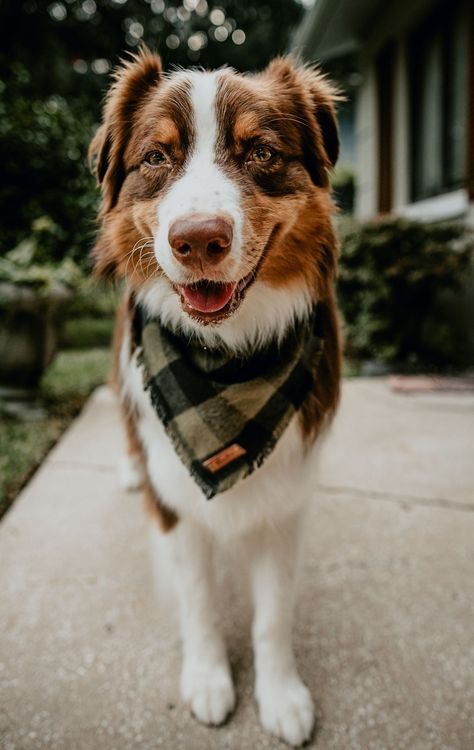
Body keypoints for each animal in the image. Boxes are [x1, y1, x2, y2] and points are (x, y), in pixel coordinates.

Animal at [90, 50, 340, 748]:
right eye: (156, 157)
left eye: (261, 152)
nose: (198, 240)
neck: (225, 361)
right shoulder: (175, 498)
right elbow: (198, 600)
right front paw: (207, 680)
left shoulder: (285, 501)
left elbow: (273, 614)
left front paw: (281, 694)